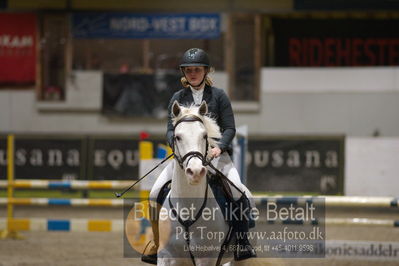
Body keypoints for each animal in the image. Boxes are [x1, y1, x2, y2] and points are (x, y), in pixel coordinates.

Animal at [157, 101, 255, 266]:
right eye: (177, 137)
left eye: (204, 136)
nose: (195, 171)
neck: (188, 209)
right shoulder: (166, 256)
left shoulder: (207, 258)